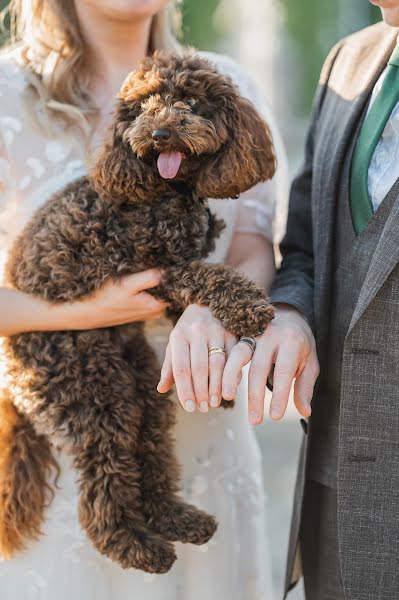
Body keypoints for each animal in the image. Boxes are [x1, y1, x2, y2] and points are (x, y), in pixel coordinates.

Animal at [0, 51, 276, 572]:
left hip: (137, 377)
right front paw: (249, 308)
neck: (170, 191)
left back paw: (176, 518)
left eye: (190, 101)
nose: (160, 134)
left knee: (148, 445)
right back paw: (136, 546)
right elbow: (211, 277)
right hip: (88, 385)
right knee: (103, 481)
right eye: (142, 106)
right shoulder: (159, 270)